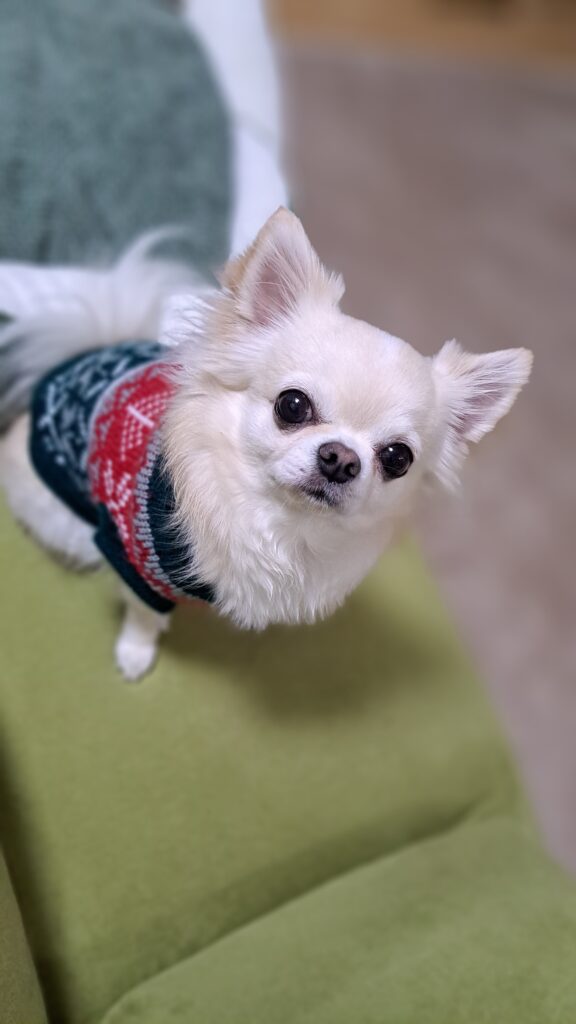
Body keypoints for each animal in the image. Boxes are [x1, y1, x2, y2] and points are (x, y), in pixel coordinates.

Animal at [0, 208, 532, 679]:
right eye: (292, 406)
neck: (278, 523)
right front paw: (135, 653)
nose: (341, 459)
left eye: (397, 458)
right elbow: (144, 614)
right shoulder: (135, 560)